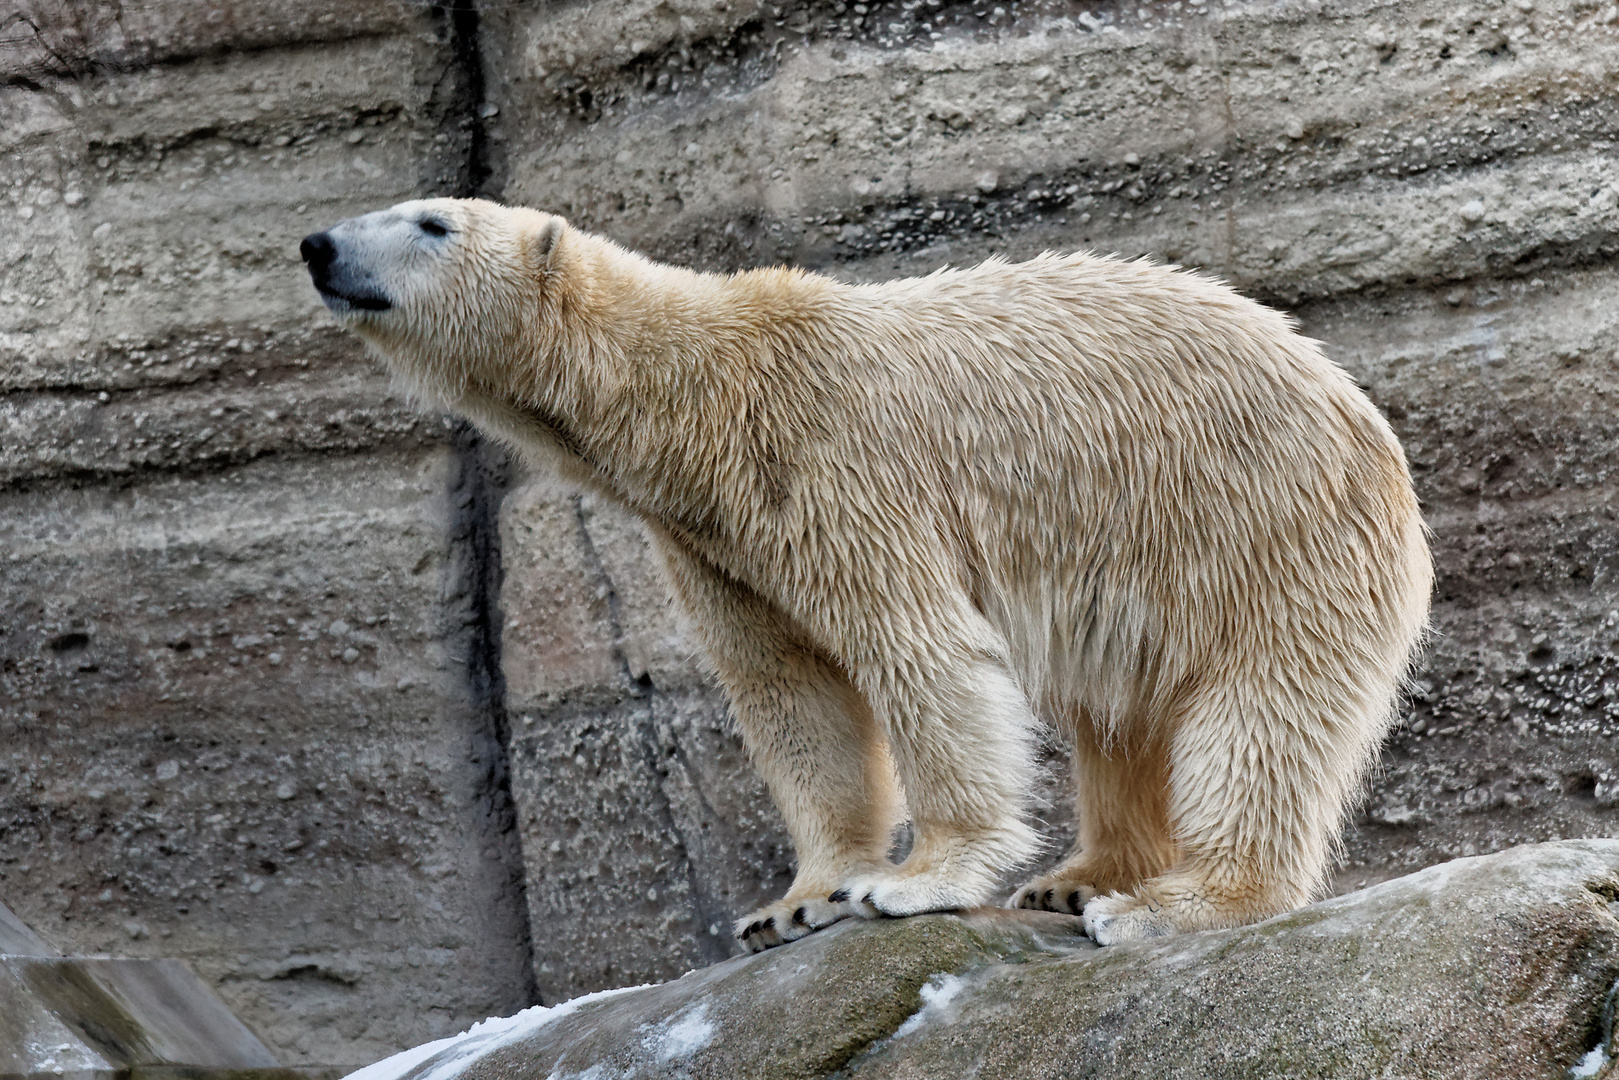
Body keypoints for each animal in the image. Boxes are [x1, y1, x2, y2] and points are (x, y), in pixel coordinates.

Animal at [301, 198, 1431, 952]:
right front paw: (794, 901)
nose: (317, 245)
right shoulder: (712, 540)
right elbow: (792, 694)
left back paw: (1172, 902)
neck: (700, 391)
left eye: (431, 221)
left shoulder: (839, 459)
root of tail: (1361, 416)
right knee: (1118, 715)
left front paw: (913, 882)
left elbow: (919, 651)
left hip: (1259, 526)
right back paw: (1077, 878)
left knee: (1259, 715)